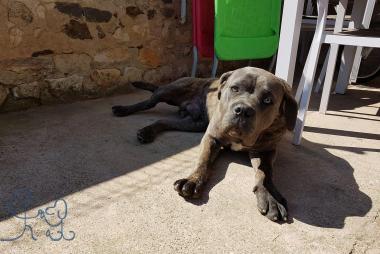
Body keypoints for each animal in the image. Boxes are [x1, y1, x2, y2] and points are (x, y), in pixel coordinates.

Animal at [111, 67, 298, 222]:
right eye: (235, 88)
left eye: (268, 100)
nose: (242, 110)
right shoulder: (212, 137)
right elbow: (204, 161)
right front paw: (193, 181)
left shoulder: (265, 150)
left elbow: (264, 174)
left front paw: (271, 197)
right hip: (169, 91)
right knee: (148, 101)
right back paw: (124, 110)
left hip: (193, 124)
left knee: (164, 121)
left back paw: (148, 131)